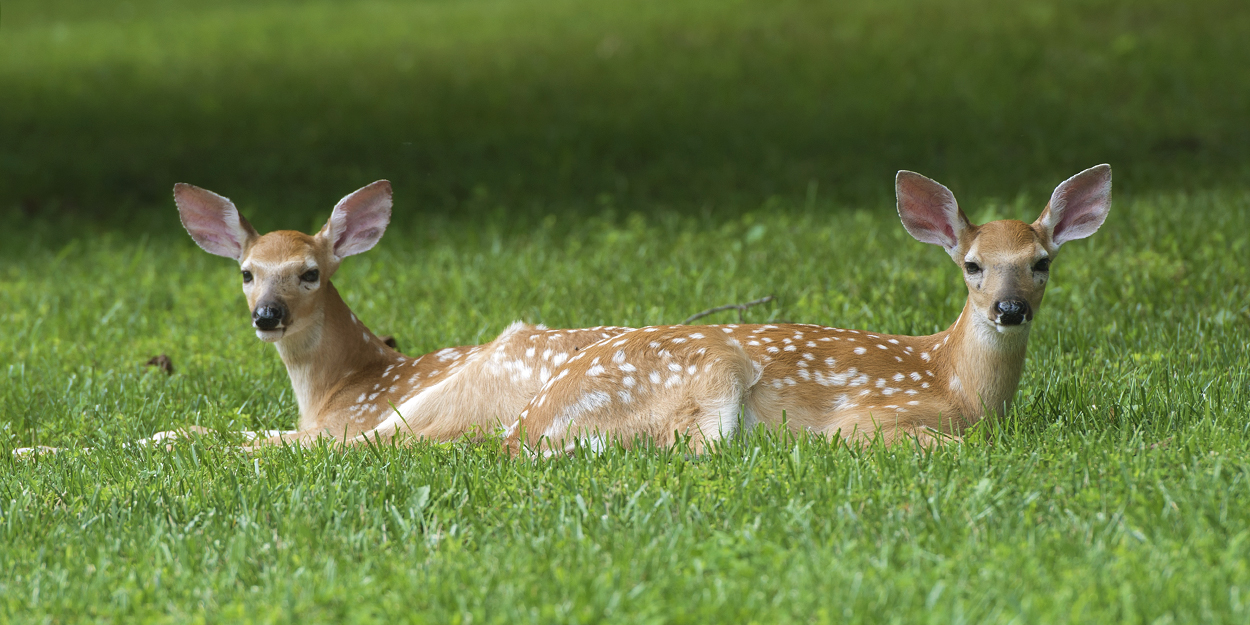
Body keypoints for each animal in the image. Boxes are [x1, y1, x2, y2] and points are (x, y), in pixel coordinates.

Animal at [507, 163, 1115, 452]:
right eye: (972, 265)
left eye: (1041, 263)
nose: (1010, 309)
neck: (959, 385)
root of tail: (526, 433)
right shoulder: (869, 416)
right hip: (710, 374)